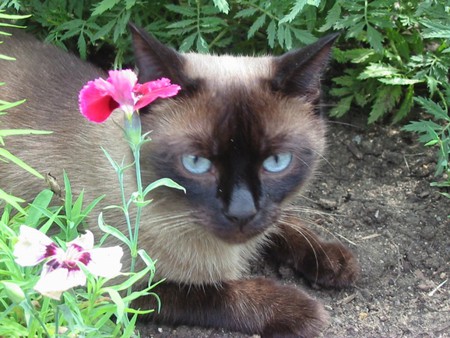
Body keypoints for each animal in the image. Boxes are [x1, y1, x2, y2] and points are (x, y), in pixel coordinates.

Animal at [0, 24, 358, 338]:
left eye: (276, 162)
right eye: (196, 163)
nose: (241, 213)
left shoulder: (269, 219)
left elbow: (287, 225)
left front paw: (334, 261)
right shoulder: (118, 287)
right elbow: (214, 293)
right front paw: (303, 310)